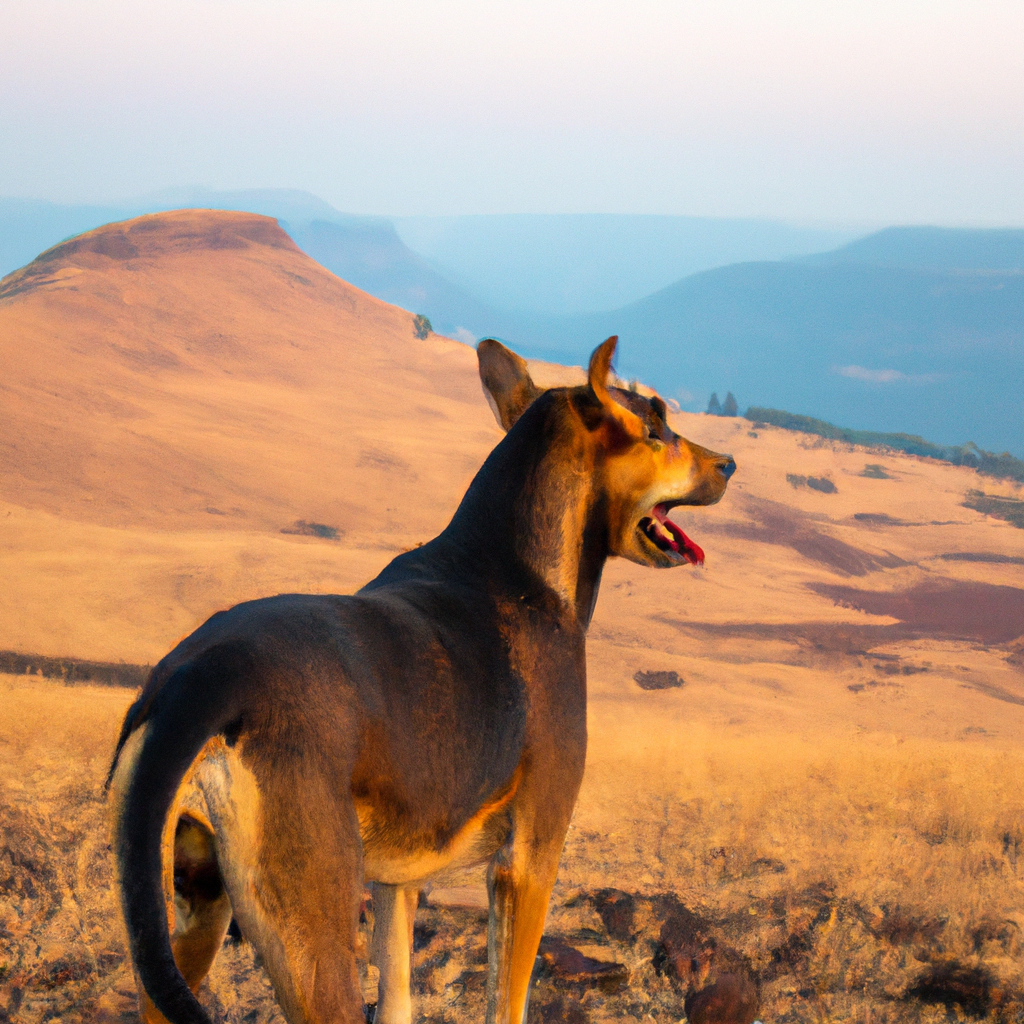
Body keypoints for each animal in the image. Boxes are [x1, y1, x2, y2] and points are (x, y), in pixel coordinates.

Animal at [108, 335, 737, 1024]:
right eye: (657, 429)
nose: (730, 464)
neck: (519, 564)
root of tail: (202, 678)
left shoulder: (397, 882)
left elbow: (400, 996)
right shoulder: (528, 863)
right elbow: (506, 1003)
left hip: (190, 913)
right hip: (314, 936)